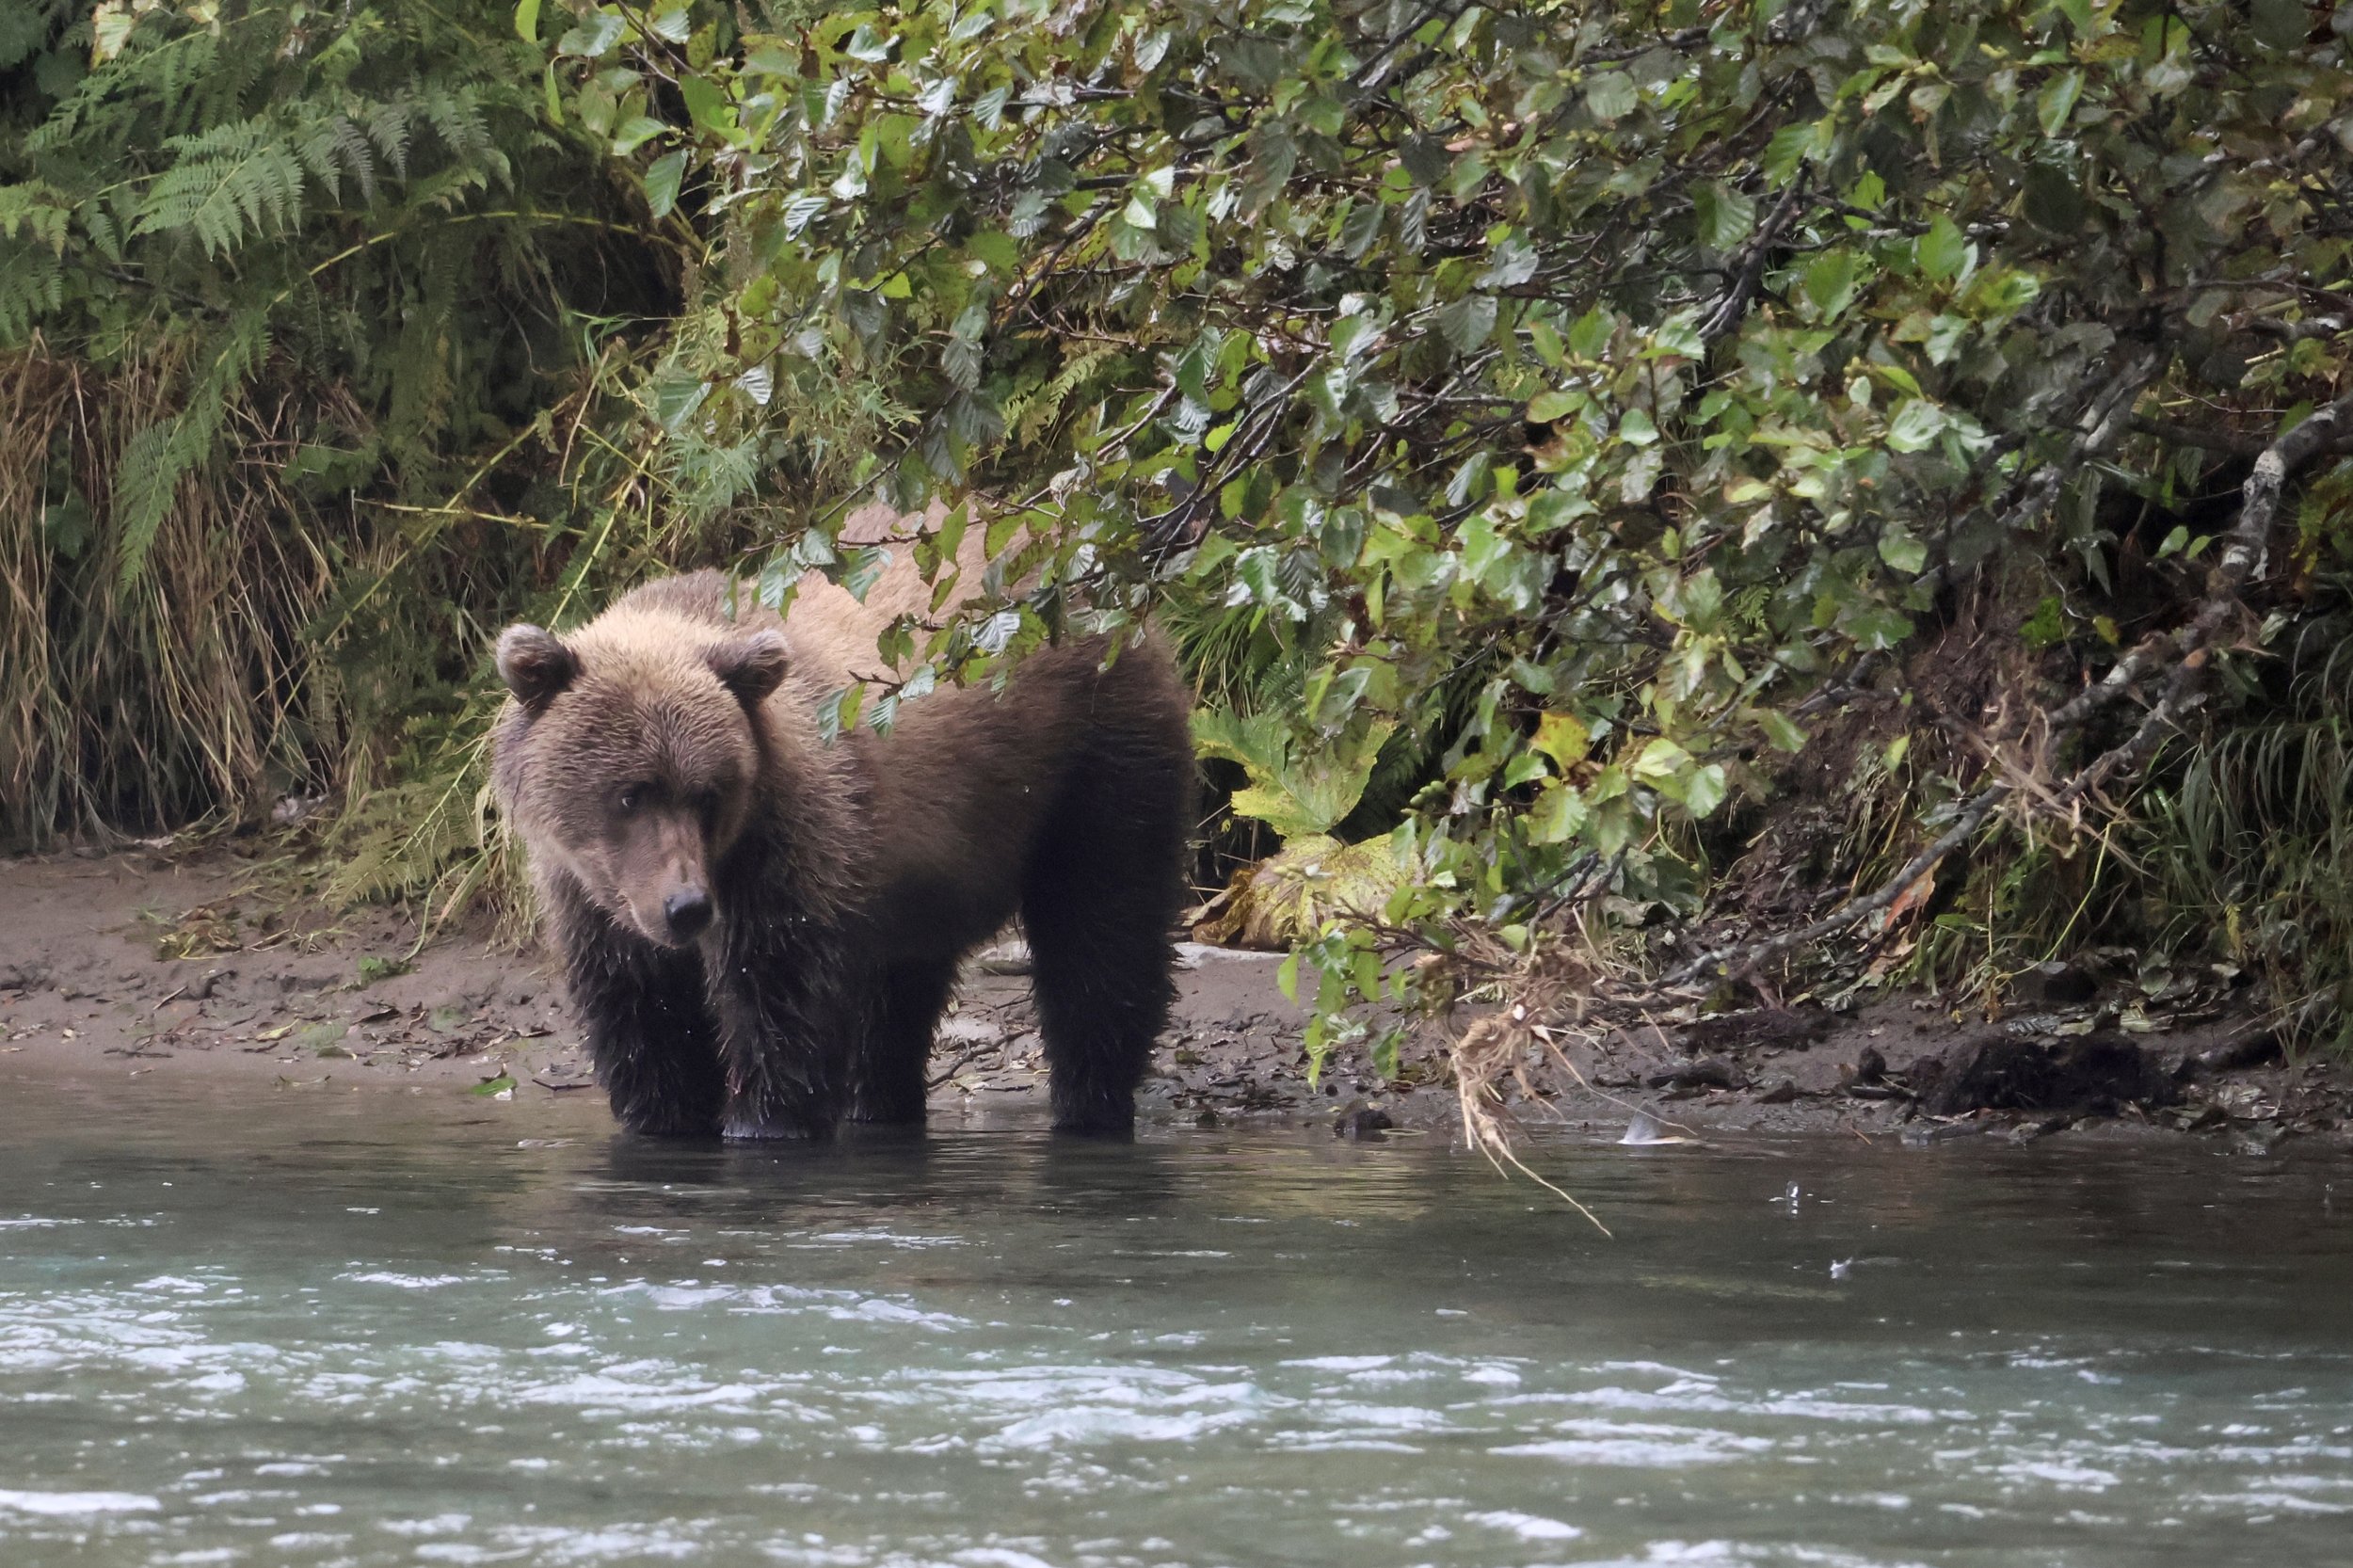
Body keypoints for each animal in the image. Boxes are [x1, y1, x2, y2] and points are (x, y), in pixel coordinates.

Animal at [489, 518, 1194, 1140]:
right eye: (631, 793)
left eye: (709, 792)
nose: (686, 907)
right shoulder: (594, 899)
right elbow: (643, 1016)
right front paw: (665, 1117)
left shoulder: (786, 845)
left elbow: (779, 998)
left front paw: (763, 1121)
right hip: (922, 862)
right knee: (899, 991)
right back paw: (879, 1102)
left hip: (1092, 761)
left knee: (1101, 930)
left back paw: (1090, 1101)